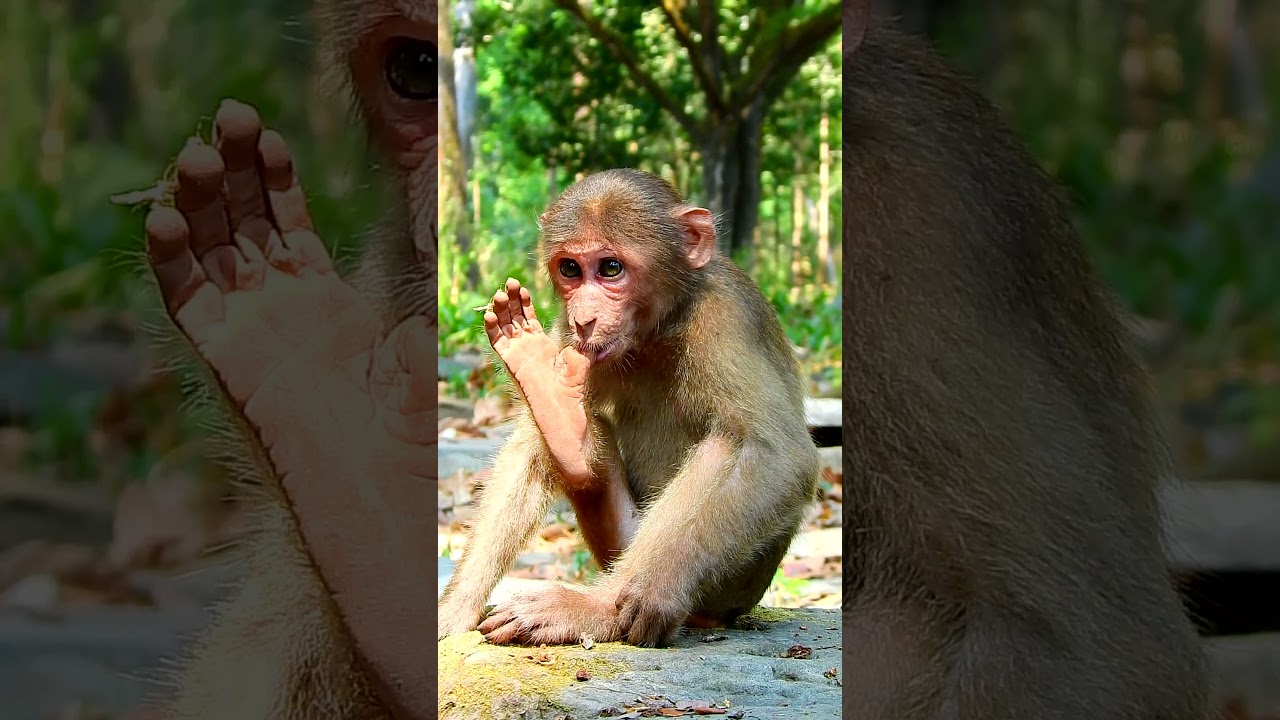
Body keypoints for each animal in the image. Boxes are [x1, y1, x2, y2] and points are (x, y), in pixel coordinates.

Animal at [435, 168, 821, 648]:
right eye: (570, 269)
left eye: (611, 268)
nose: (584, 318)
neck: (656, 329)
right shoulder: (566, 334)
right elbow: (526, 450)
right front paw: (455, 606)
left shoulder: (724, 318)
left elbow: (775, 454)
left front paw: (617, 604)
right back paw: (563, 428)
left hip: (730, 585)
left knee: (728, 447)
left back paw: (599, 607)